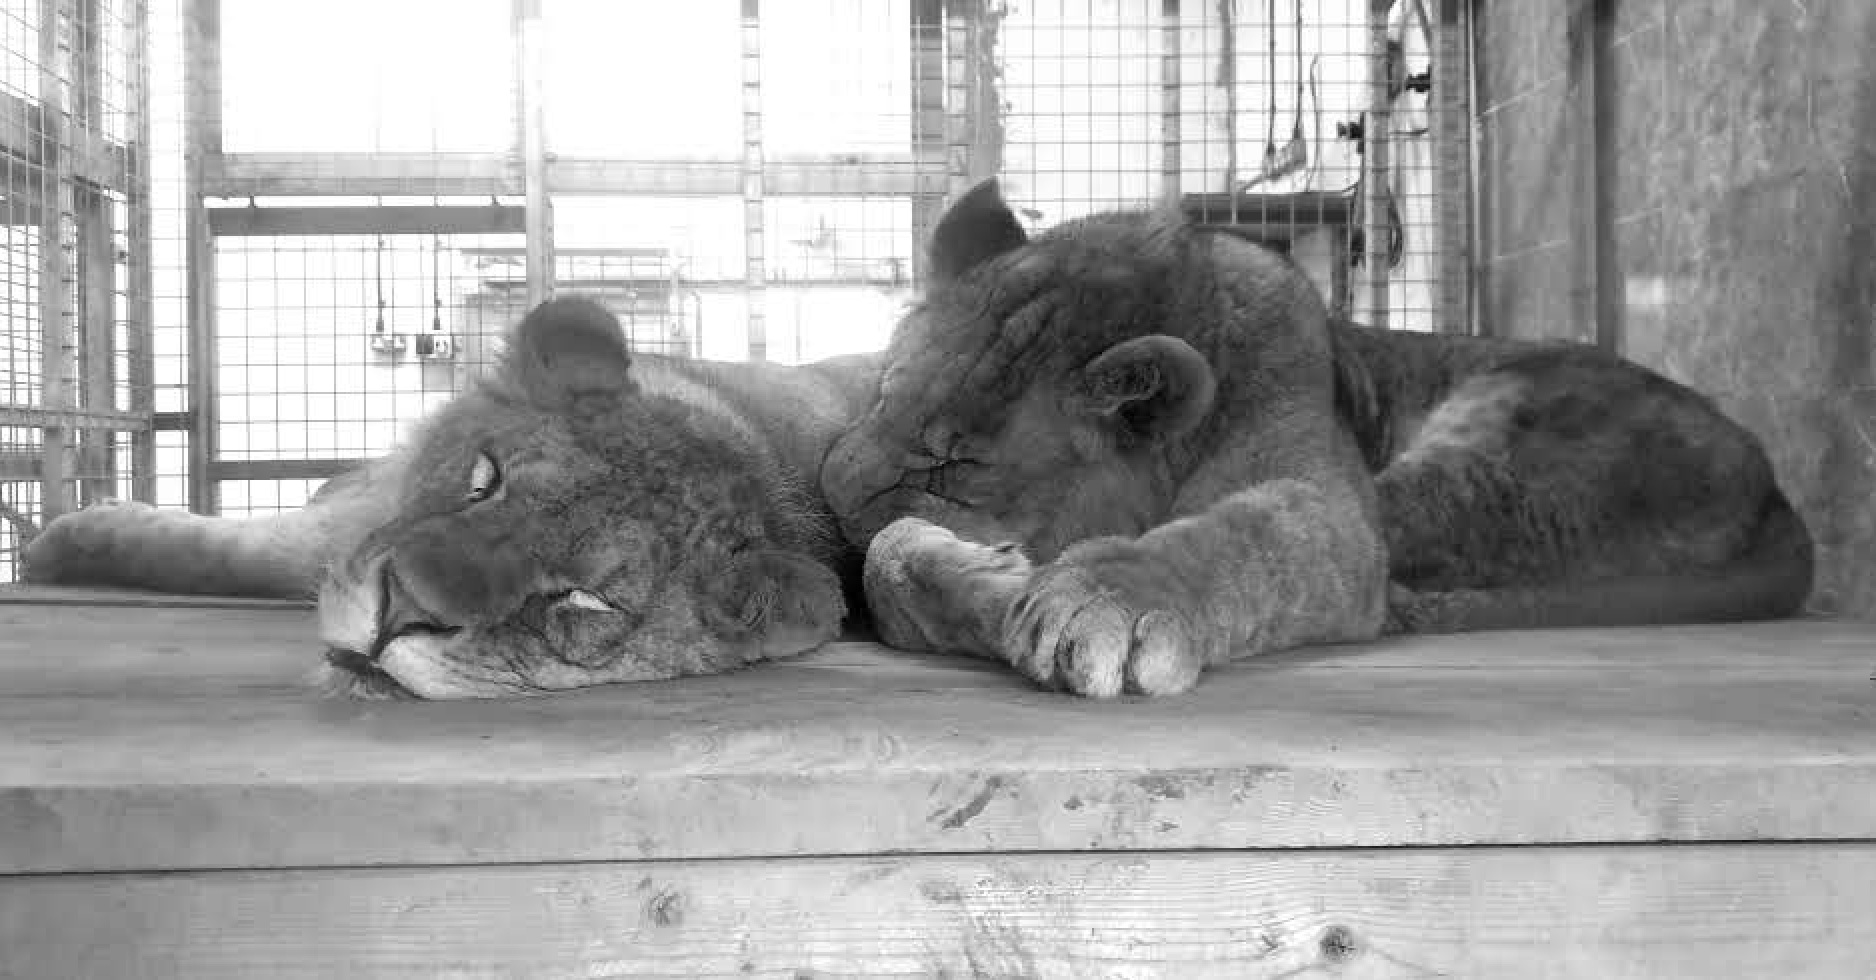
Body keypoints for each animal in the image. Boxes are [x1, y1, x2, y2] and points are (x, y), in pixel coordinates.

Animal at [822, 180, 1814, 697]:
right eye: (881, 394)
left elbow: (1240, 538)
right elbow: (890, 558)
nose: (831, 497)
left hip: (1476, 455)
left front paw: (1097, 596)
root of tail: (1778, 488)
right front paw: (972, 576)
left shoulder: (1326, 501)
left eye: (955, 463)